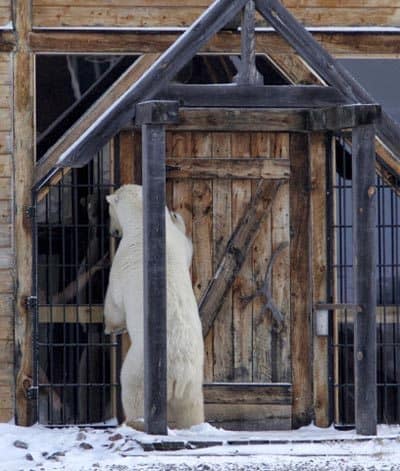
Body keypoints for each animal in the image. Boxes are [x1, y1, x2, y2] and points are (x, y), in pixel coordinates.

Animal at [104, 184, 203, 432]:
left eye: (109, 211)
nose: (113, 232)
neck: (142, 222)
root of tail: (179, 373)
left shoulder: (123, 261)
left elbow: (114, 300)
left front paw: (111, 327)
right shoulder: (177, 242)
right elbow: (187, 246)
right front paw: (176, 217)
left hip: (142, 368)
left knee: (133, 391)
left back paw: (134, 422)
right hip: (194, 379)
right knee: (191, 408)